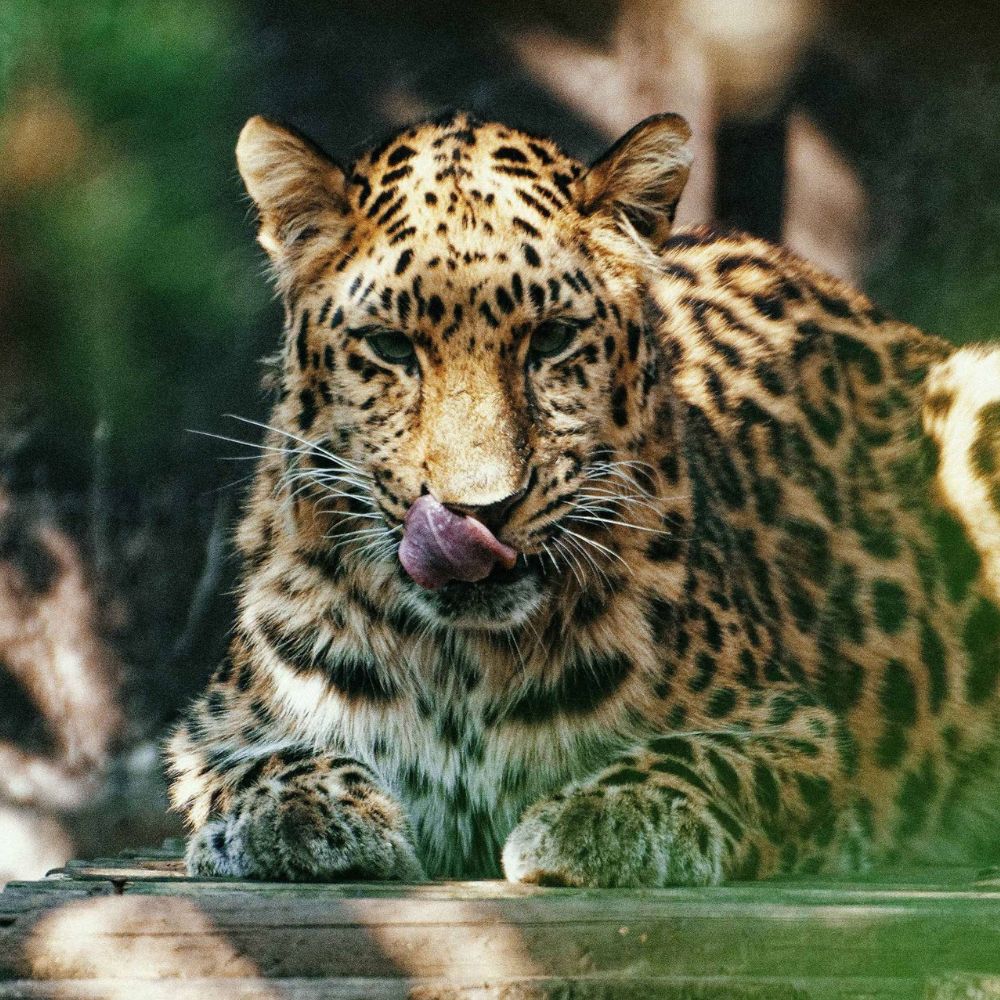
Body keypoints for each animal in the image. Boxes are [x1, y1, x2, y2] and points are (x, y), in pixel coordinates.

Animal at [167, 109, 1000, 887]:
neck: (460, 666)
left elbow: (704, 759)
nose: (478, 512)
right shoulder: (211, 732)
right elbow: (256, 768)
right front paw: (309, 811)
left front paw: (609, 814)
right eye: (392, 347)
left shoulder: (800, 732)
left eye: (552, 339)